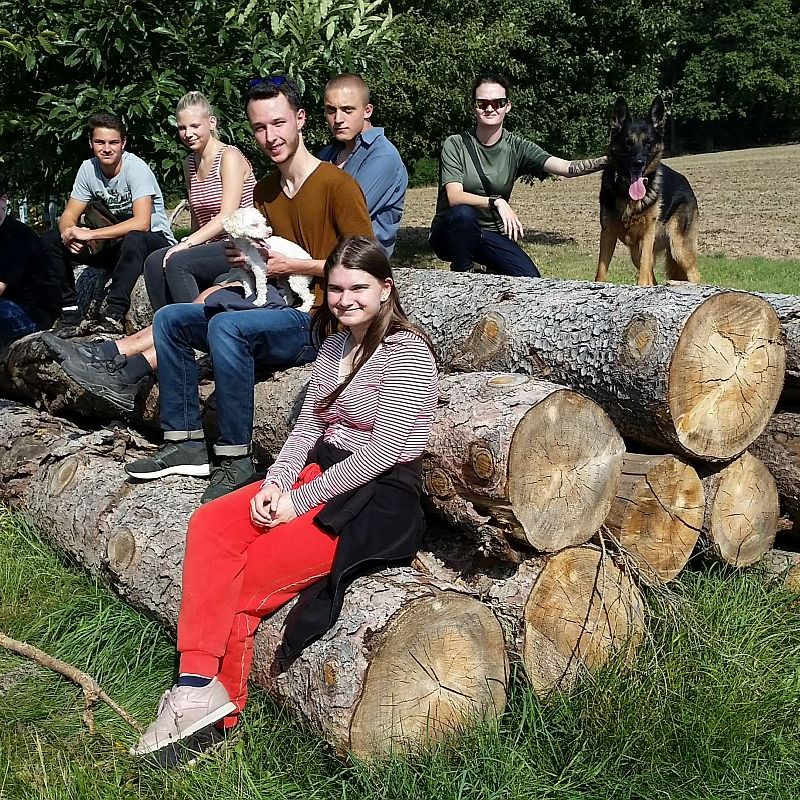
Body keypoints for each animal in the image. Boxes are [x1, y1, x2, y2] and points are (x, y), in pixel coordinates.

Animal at [592, 97, 700, 286]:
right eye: (628, 142)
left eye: (648, 142)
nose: (639, 163)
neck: (628, 196)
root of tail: (686, 183)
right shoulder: (607, 234)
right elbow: (601, 273)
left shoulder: (647, 236)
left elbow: (643, 275)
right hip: (637, 251)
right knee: (653, 279)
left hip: (678, 248)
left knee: (694, 275)